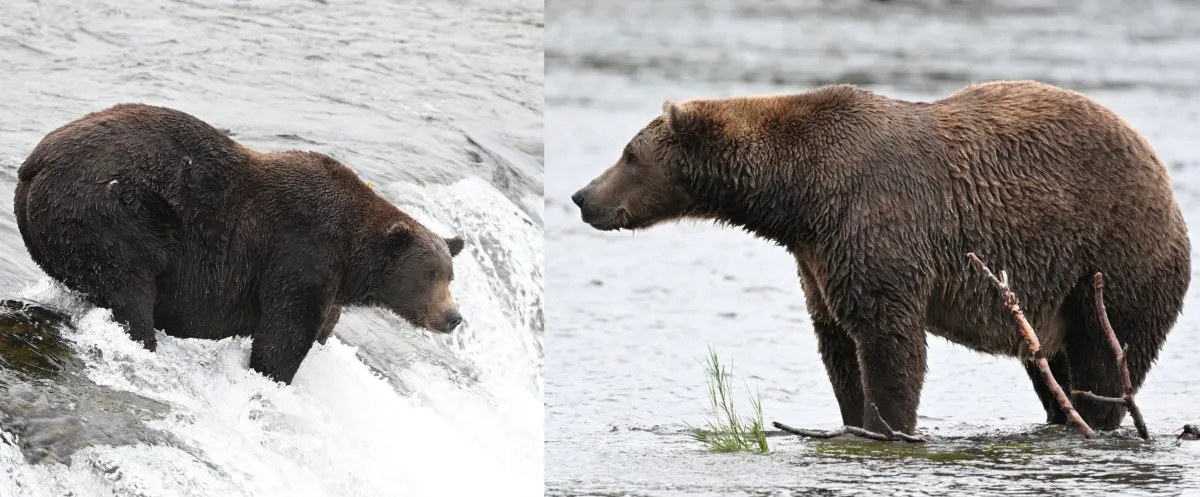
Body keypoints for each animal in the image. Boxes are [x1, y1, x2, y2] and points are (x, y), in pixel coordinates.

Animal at [14, 103, 465, 384]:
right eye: (429, 275)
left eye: (450, 276)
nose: (453, 317)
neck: (352, 260)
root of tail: (35, 161)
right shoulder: (302, 253)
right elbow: (283, 335)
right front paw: (272, 376)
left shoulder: (330, 285)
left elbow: (319, 328)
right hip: (113, 213)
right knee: (130, 289)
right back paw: (143, 338)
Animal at [571, 81, 1190, 435]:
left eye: (628, 154)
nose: (582, 197)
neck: (798, 196)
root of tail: (1164, 180)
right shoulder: (818, 257)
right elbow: (838, 344)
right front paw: (852, 420)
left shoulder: (876, 224)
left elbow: (888, 340)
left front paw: (888, 423)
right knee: (1052, 370)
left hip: (1113, 257)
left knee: (1105, 358)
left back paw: (1098, 418)